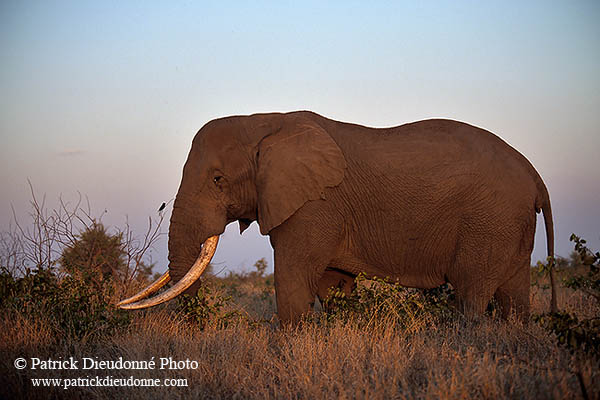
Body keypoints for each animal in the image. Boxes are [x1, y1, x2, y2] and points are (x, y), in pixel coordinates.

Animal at [119, 110, 556, 324]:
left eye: (218, 179)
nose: (200, 325)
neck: (262, 121)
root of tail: (535, 175)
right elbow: (331, 285)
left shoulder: (314, 206)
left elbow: (294, 280)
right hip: (509, 223)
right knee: (514, 296)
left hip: (489, 220)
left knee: (471, 293)